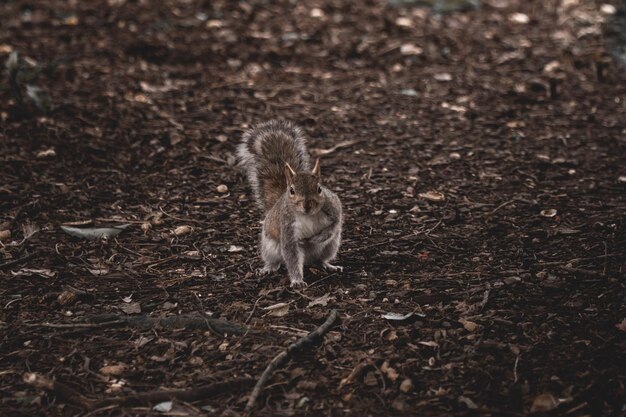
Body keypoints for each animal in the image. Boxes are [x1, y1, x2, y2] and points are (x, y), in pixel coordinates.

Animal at [235, 119, 342, 286]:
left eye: (319, 189)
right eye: (292, 191)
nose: (306, 206)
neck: (308, 215)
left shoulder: (333, 208)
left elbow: (333, 226)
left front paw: (316, 238)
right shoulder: (287, 227)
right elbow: (291, 256)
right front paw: (297, 280)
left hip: (331, 246)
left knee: (320, 259)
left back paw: (328, 265)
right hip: (270, 247)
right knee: (274, 261)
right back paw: (268, 268)